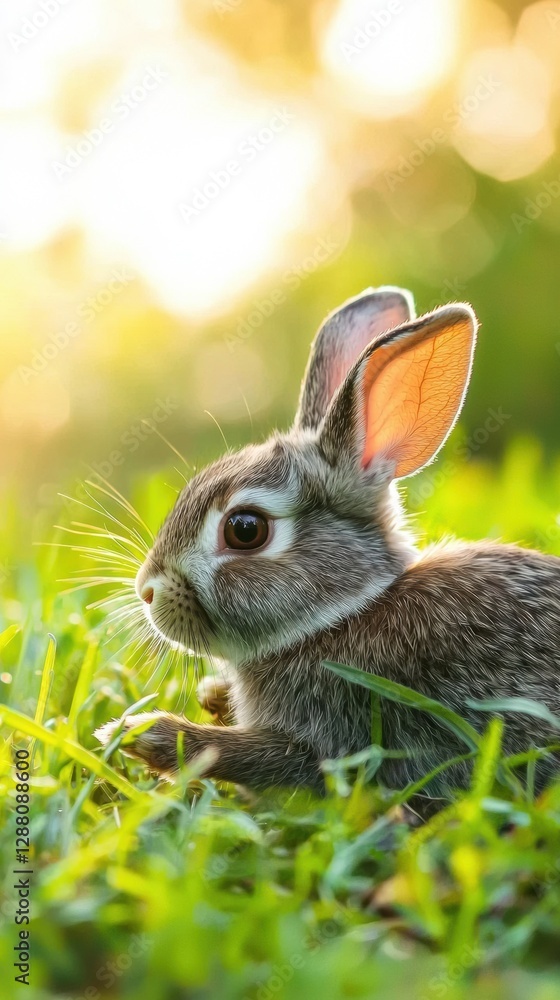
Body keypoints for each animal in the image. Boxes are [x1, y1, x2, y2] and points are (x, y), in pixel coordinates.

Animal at [96, 286, 560, 795]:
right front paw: (210, 695)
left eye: (245, 529)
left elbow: (258, 758)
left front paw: (141, 733)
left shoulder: (341, 741)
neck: (343, 615)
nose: (146, 591)